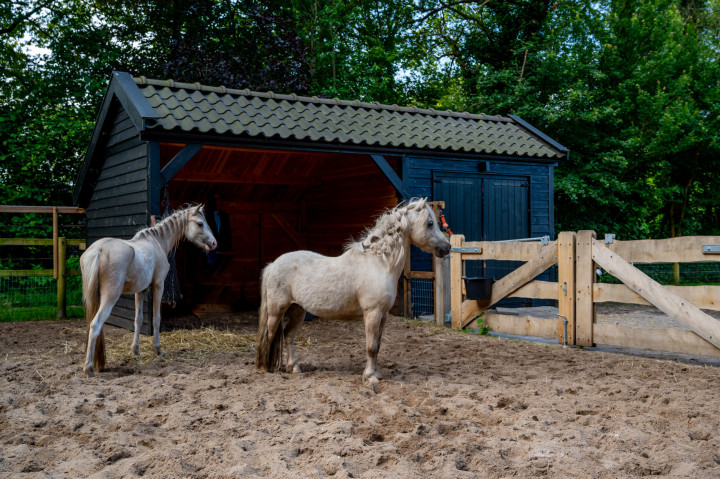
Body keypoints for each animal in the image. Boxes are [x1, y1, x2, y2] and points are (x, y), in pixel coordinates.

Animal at [80, 204, 217, 377]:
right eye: (200, 223)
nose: (214, 243)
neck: (157, 242)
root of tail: (98, 250)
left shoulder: (141, 291)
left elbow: (138, 320)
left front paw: (136, 351)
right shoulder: (158, 286)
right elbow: (156, 319)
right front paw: (158, 349)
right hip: (110, 297)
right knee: (95, 325)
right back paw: (89, 368)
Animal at [256, 198, 451, 386]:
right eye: (430, 223)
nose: (447, 247)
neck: (379, 263)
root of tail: (273, 264)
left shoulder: (383, 315)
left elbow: (378, 345)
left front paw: (377, 374)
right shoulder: (372, 313)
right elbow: (371, 347)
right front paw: (370, 377)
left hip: (297, 309)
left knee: (288, 335)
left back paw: (294, 368)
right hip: (276, 310)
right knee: (270, 335)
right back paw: (267, 368)